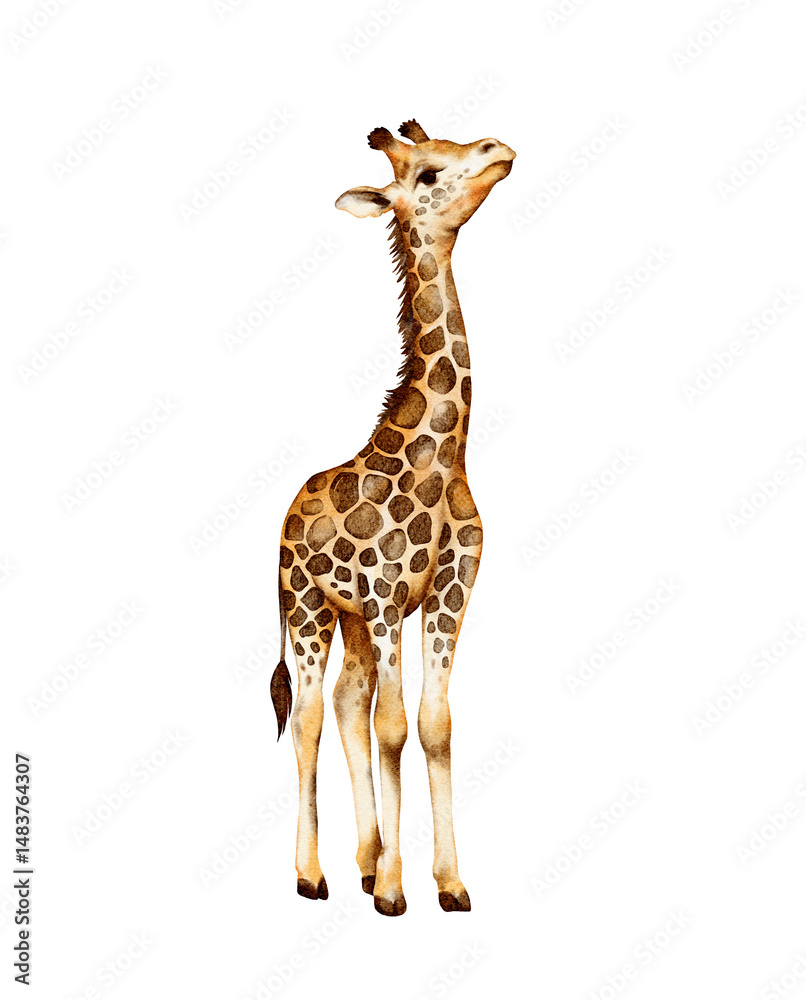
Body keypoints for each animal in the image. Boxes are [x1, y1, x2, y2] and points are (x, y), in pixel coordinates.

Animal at [270, 119, 515, 916]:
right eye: (430, 172)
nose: (500, 149)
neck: (443, 459)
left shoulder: (448, 591)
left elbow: (433, 725)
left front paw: (447, 883)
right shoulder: (384, 595)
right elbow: (395, 724)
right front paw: (393, 892)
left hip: (347, 620)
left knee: (347, 701)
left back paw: (364, 858)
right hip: (309, 608)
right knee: (311, 716)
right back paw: (313, 875)